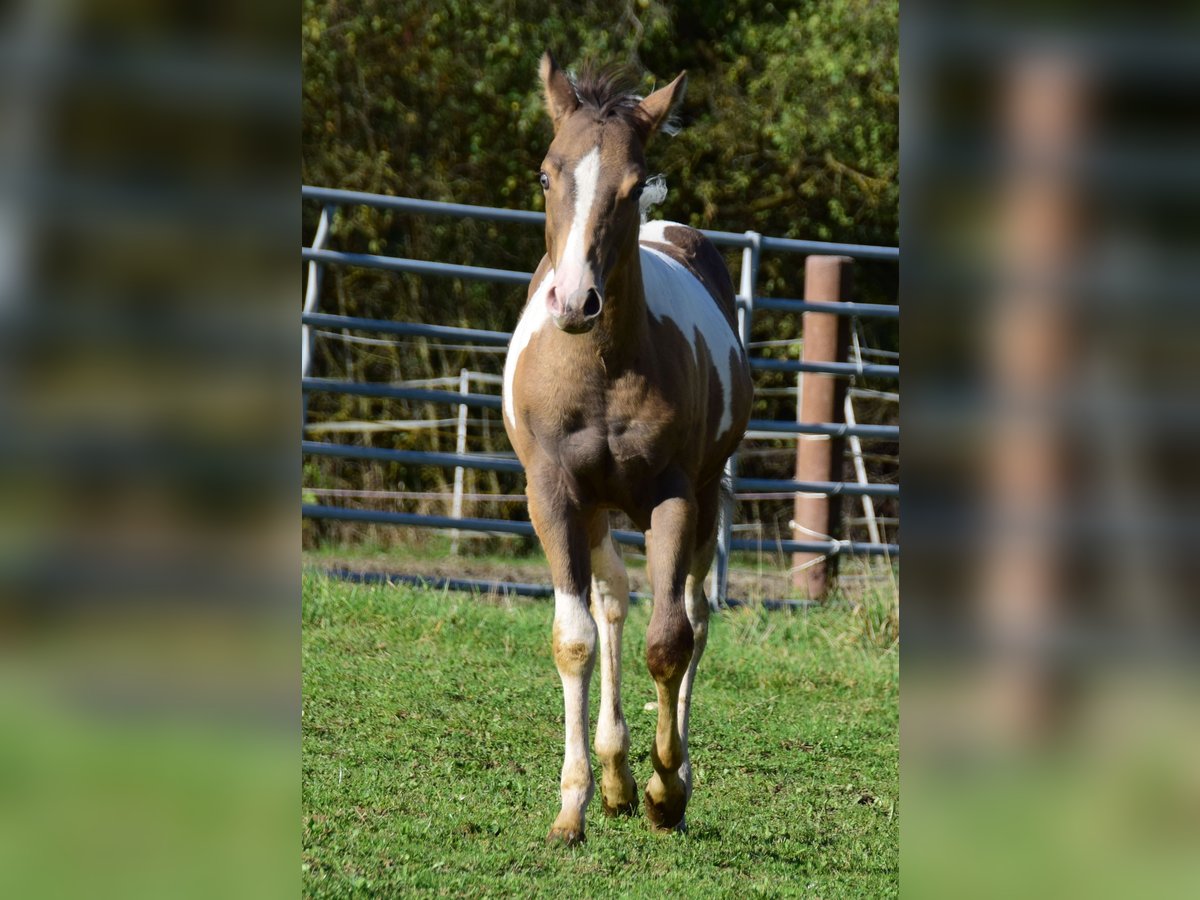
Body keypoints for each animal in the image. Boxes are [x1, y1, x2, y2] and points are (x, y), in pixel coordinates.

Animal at [499, 54, 748, 844]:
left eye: (633, 184)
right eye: (546, 175)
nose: (577, 301)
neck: (603, 367)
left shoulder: (673, 493)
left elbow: (669, 641)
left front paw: (667, 790)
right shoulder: (552, 493)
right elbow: (574, 636)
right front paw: (573, 804)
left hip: (701, 500)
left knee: (693, 615)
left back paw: (661, 776)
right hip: (597, 508)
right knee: (611, 600)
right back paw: (612, 773)